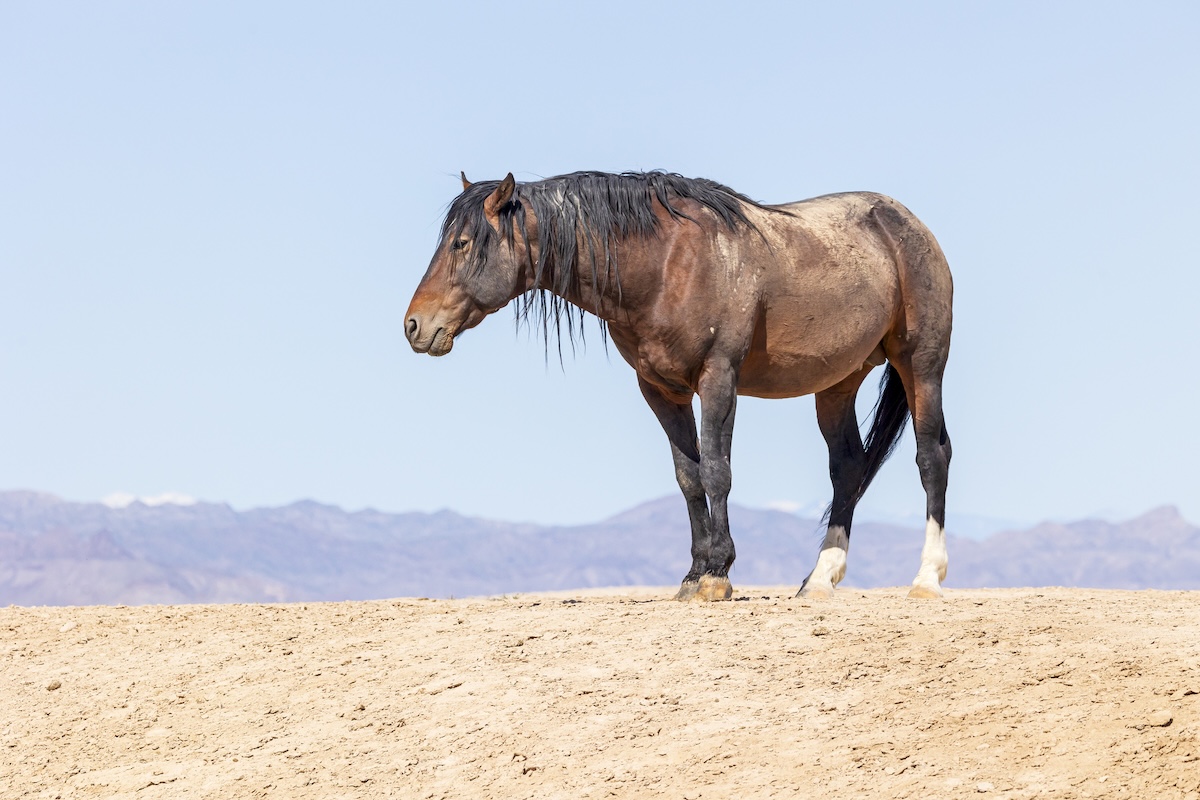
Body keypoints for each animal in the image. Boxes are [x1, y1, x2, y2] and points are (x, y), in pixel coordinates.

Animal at [405, 170, 953, 600]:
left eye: (462, 243)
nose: (414, 326)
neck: (666, 264)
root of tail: (907, 223)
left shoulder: (717, 378)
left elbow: (716, 470)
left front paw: (718, 574)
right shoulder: (660, 390)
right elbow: (688, 477)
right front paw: (694, 573)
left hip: (921, 365)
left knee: (932, 455)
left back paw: (927, 578)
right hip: (838, 383)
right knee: (847, 466)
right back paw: (819, 578)